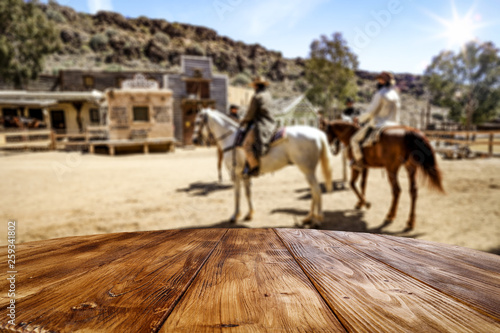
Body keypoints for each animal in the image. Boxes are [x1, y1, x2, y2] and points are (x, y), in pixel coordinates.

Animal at [193, 107, 334, 227]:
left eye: (198, 121)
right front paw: (249, 214)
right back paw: (309, 217)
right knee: (314, 191)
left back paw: (317, 220)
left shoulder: (236, 173)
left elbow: (237, 194)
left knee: (316, 190)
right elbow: (247, 193)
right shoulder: (245, 174)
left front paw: (235, 215)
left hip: (307, 170)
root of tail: (318, 134)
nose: (194, 140)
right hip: (308, 171)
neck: (232, 138)